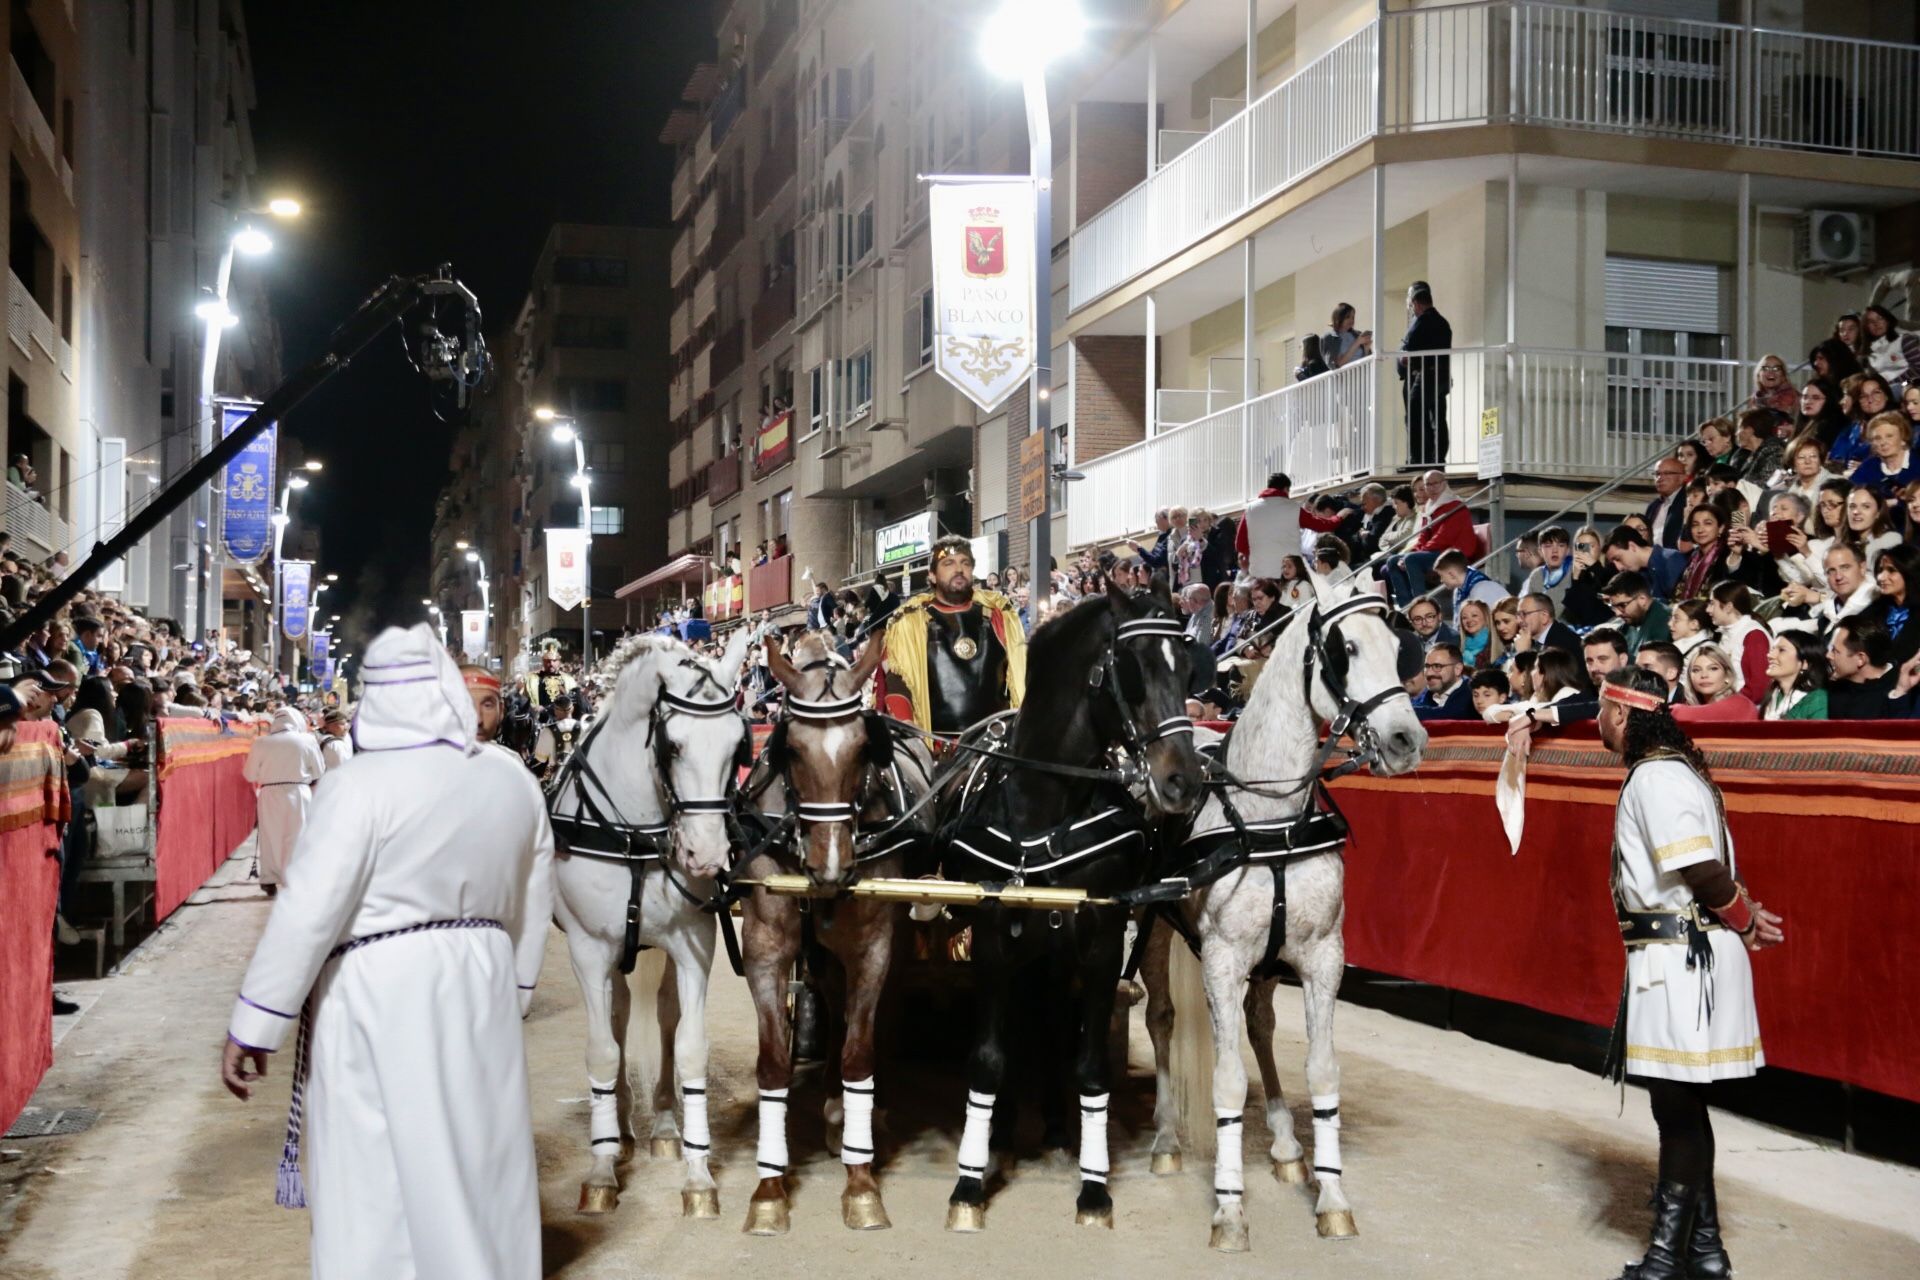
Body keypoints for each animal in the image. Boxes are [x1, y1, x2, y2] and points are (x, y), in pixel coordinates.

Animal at [552, 629, 752, 1220]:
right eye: (672, 747)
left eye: (739, 748)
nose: (706, 856)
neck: (636, 837)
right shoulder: (589, 950)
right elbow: (602, 1049)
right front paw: (600, 1168)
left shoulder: (695, 946)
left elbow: (689, 1047)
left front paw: (698, 1173)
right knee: (617, 1020)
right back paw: (618, 1132)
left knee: (662, 1017)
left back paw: (662, 1126)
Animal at [733, 629, 929, 1228]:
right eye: (791, 749)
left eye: (865, 749)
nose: (832, 866)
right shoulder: (768, 945)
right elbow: (773, 1063)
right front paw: (769, 1190)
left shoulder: (873, 944)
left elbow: (859, 1052)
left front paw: (861, 1181)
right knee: (834, 1002)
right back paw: (831, 1104)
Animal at [940, 579, 1198, 1228]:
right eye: (1131, 670)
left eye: (1188, 667)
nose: (1184, 781)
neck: (1045, 808)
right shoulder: (991, 934)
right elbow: (989, 1057)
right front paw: (969, 1182)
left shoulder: (1102, 936)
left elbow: (1090, 1066)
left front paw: (1094, 1186)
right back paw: (1005, 1131)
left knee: (1053, 1020)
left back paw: (1057, 1127)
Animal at [1136, 579, 1428, 1251]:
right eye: (1345, 649)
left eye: (1398, 644)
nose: (1407, 741)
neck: (1270, 819)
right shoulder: (1221, 960)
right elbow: (1226, 1079)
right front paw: (1228, 1210)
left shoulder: (1322, 956)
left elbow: (1321, 1073)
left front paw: (1333, 1196)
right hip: (1158, 933)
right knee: (1162, 1018)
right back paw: (1165, 1138)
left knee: (1260, 1025)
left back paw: (1288, 1147)